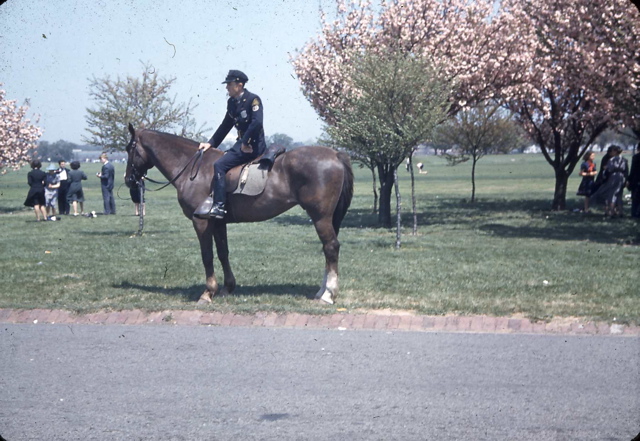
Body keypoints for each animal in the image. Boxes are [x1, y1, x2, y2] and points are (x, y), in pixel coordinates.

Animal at [124, 124, 356, 302]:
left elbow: (207, 255)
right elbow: (223, 253)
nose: (128, 180)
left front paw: (208, 292)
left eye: (130, 148)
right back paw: (321, 291)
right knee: (328, 250)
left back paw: (328, 294)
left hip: (320, 217)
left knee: (331, 247)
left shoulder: (201, 222)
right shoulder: (218, 222)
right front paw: (227, 288)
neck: (193, 169)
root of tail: (335, 154)